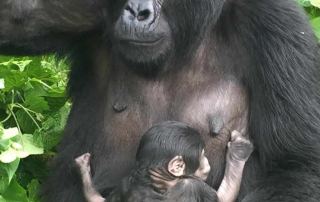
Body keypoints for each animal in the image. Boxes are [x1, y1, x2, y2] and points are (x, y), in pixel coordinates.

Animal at [74, 120, 252, 201]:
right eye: (202, 155)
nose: (207, 161)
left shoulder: (125, 185)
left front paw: (82, 167)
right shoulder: (194, 186)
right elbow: (223, 197)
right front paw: (238, 152)